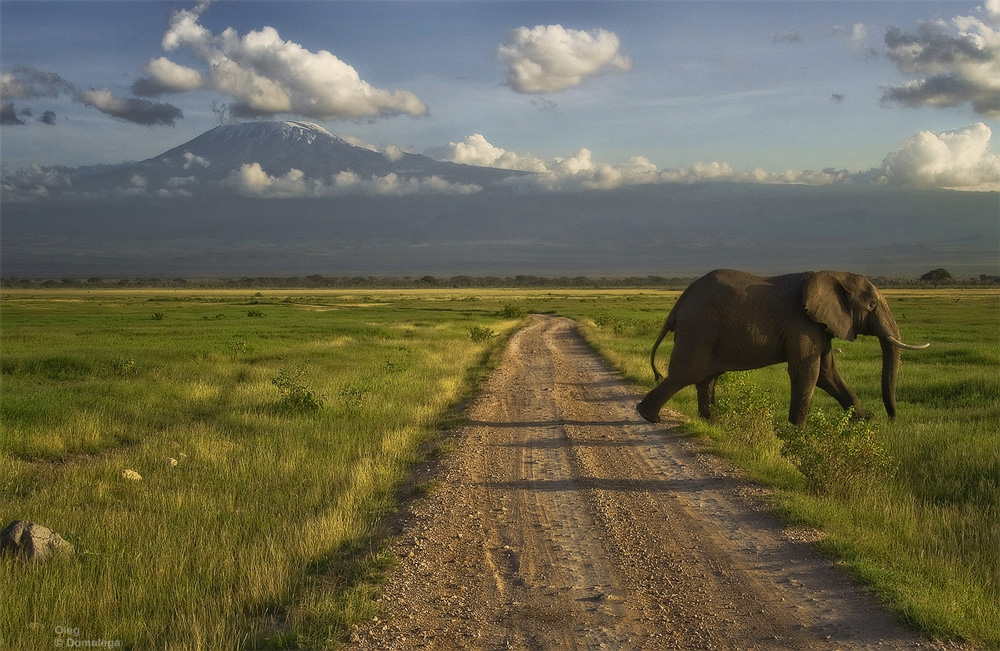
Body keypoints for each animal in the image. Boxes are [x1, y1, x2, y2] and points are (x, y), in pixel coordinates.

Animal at [632, 270, 928, 428]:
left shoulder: (818, 325)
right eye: (871, 306)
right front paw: (798, 432)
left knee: (705, 378)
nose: (890, 420)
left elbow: (828, 375)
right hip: (700, 330)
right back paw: (649, 417)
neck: (832, 275)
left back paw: (712, 423)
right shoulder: (802, 323)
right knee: (686, 374)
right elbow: (807, 373)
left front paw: (864, 419)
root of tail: (678, 305)